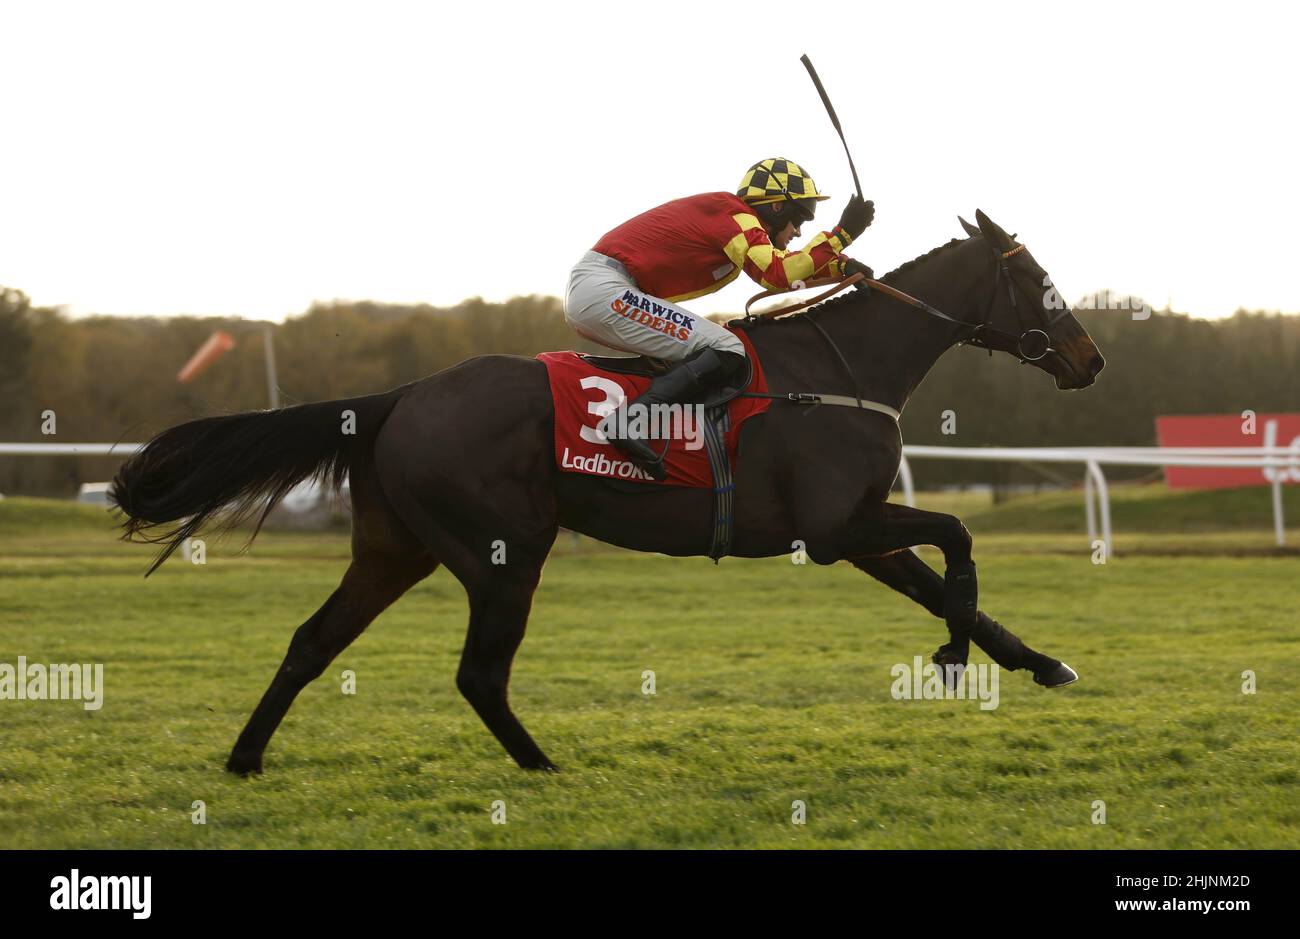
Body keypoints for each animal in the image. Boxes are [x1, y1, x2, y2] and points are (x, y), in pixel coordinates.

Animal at [114, 210, 1107, 769]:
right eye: (1038, 277)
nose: (1091, 358)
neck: (840, 365)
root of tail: (400, 396)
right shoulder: (836, 526)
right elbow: (960, 538)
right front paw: (953, 657)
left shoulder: (859, 529)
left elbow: (944, 579)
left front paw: (1038, 660)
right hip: (503, 549)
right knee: (479, 673)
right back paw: (543, 766)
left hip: (396, 548)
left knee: (311, 642)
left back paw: (245, 758)